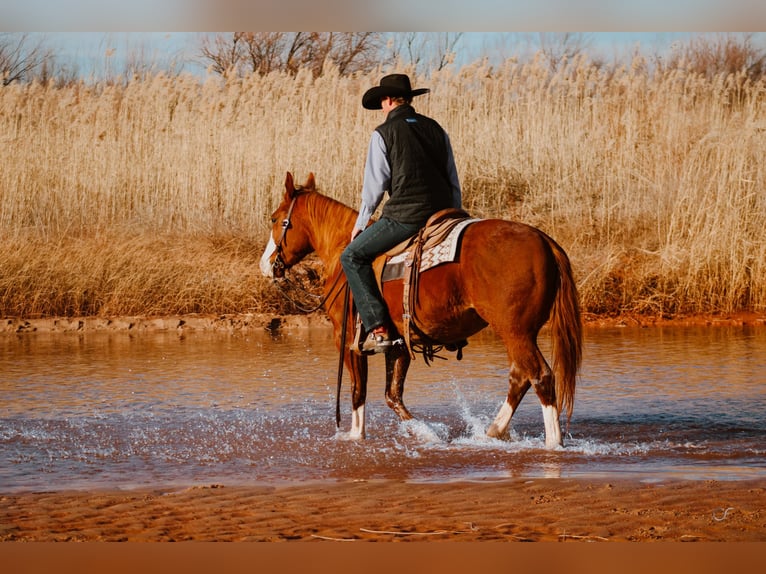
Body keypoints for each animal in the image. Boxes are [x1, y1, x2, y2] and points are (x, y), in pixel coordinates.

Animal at [260, 171, 584, 450]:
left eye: (276, 219)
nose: (266, 265)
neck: (342, 253)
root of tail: (544, 240)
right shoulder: (397, 343)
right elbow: (393, 396)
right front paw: (425, 433)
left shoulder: (350, 338)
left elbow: (358, 392)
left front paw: (356, 436)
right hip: (520, 334)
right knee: (520, 377)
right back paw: (492, 432)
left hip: (516, 332)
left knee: (540, 376)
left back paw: (553, 443)